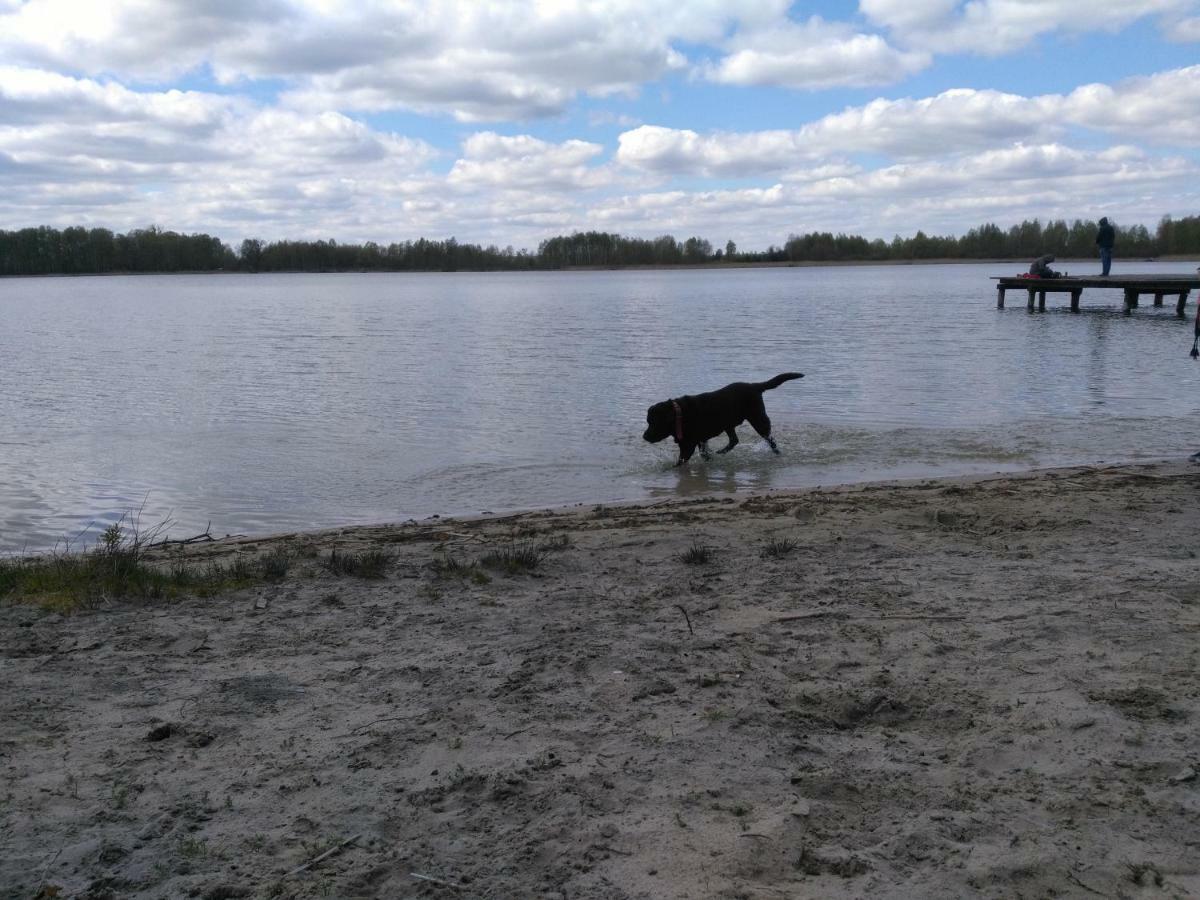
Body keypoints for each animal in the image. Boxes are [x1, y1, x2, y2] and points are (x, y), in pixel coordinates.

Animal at [643, 374, 801, 468]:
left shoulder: (688, 445)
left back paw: (777, 453)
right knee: (734, 440)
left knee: (770, 440)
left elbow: (680, 462)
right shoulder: (700, 440)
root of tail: (754, 385)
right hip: (729, 423)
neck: (679, 415)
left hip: (758, 419)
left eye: (654, 422)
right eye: (648, 421)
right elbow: (704, 454)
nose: (644, 436)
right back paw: (722, 451)